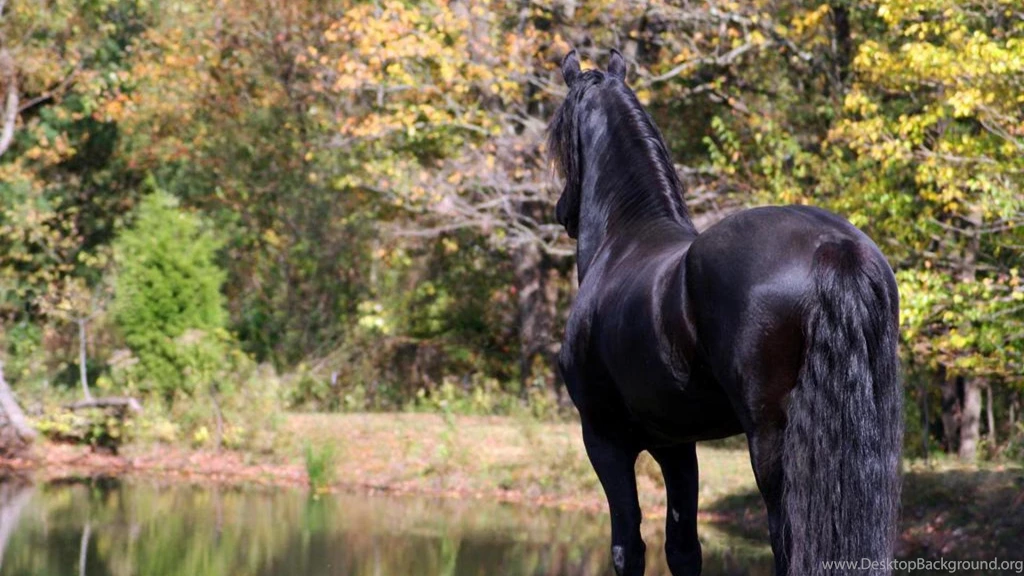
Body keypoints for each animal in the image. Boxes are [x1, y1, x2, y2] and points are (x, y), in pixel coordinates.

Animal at [549, 49, 902, 576]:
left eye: (558, 133)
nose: (563, 211)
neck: (624, 241)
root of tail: (834, 247)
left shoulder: (604, 437)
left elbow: (627, 547)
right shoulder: (675, 444)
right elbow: (683, 548)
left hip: (772, 443)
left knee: (787, 542)